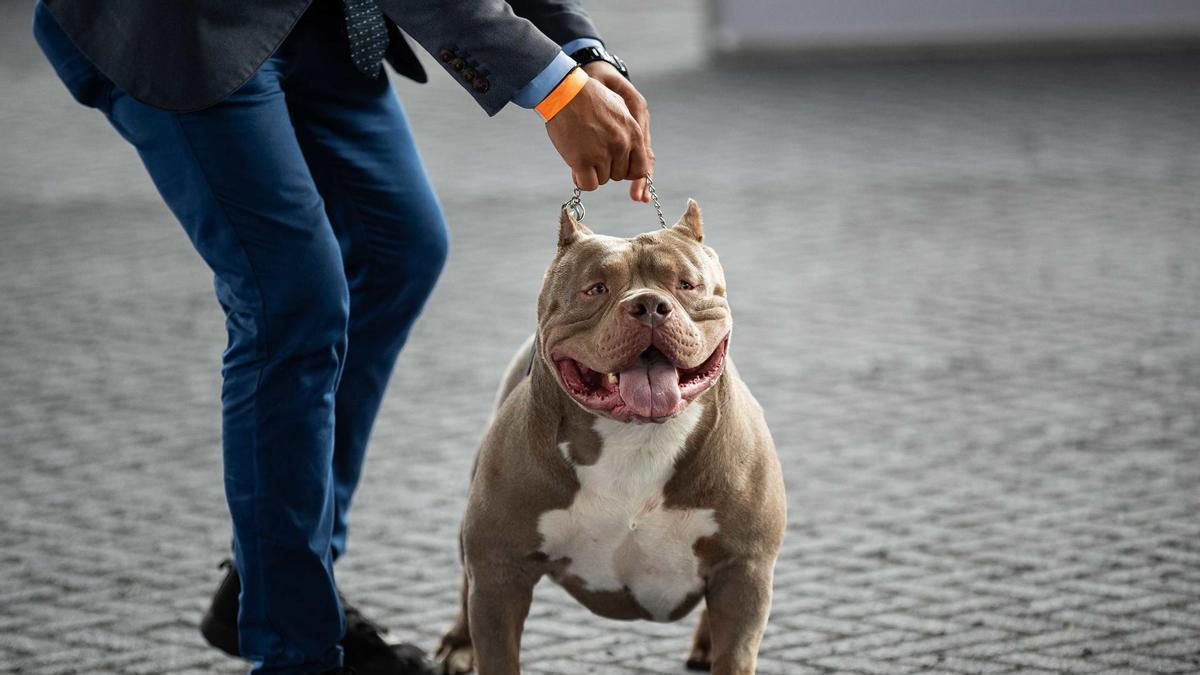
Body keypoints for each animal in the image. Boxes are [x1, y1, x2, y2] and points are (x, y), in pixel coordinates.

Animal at [436, 199, 782, 672]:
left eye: (687, 285)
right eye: (596, 289)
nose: (650, 304)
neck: (637, 438)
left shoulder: (745, 567)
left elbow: (736, 653)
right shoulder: (499, 569)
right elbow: (497, 649)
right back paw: (459, 643)